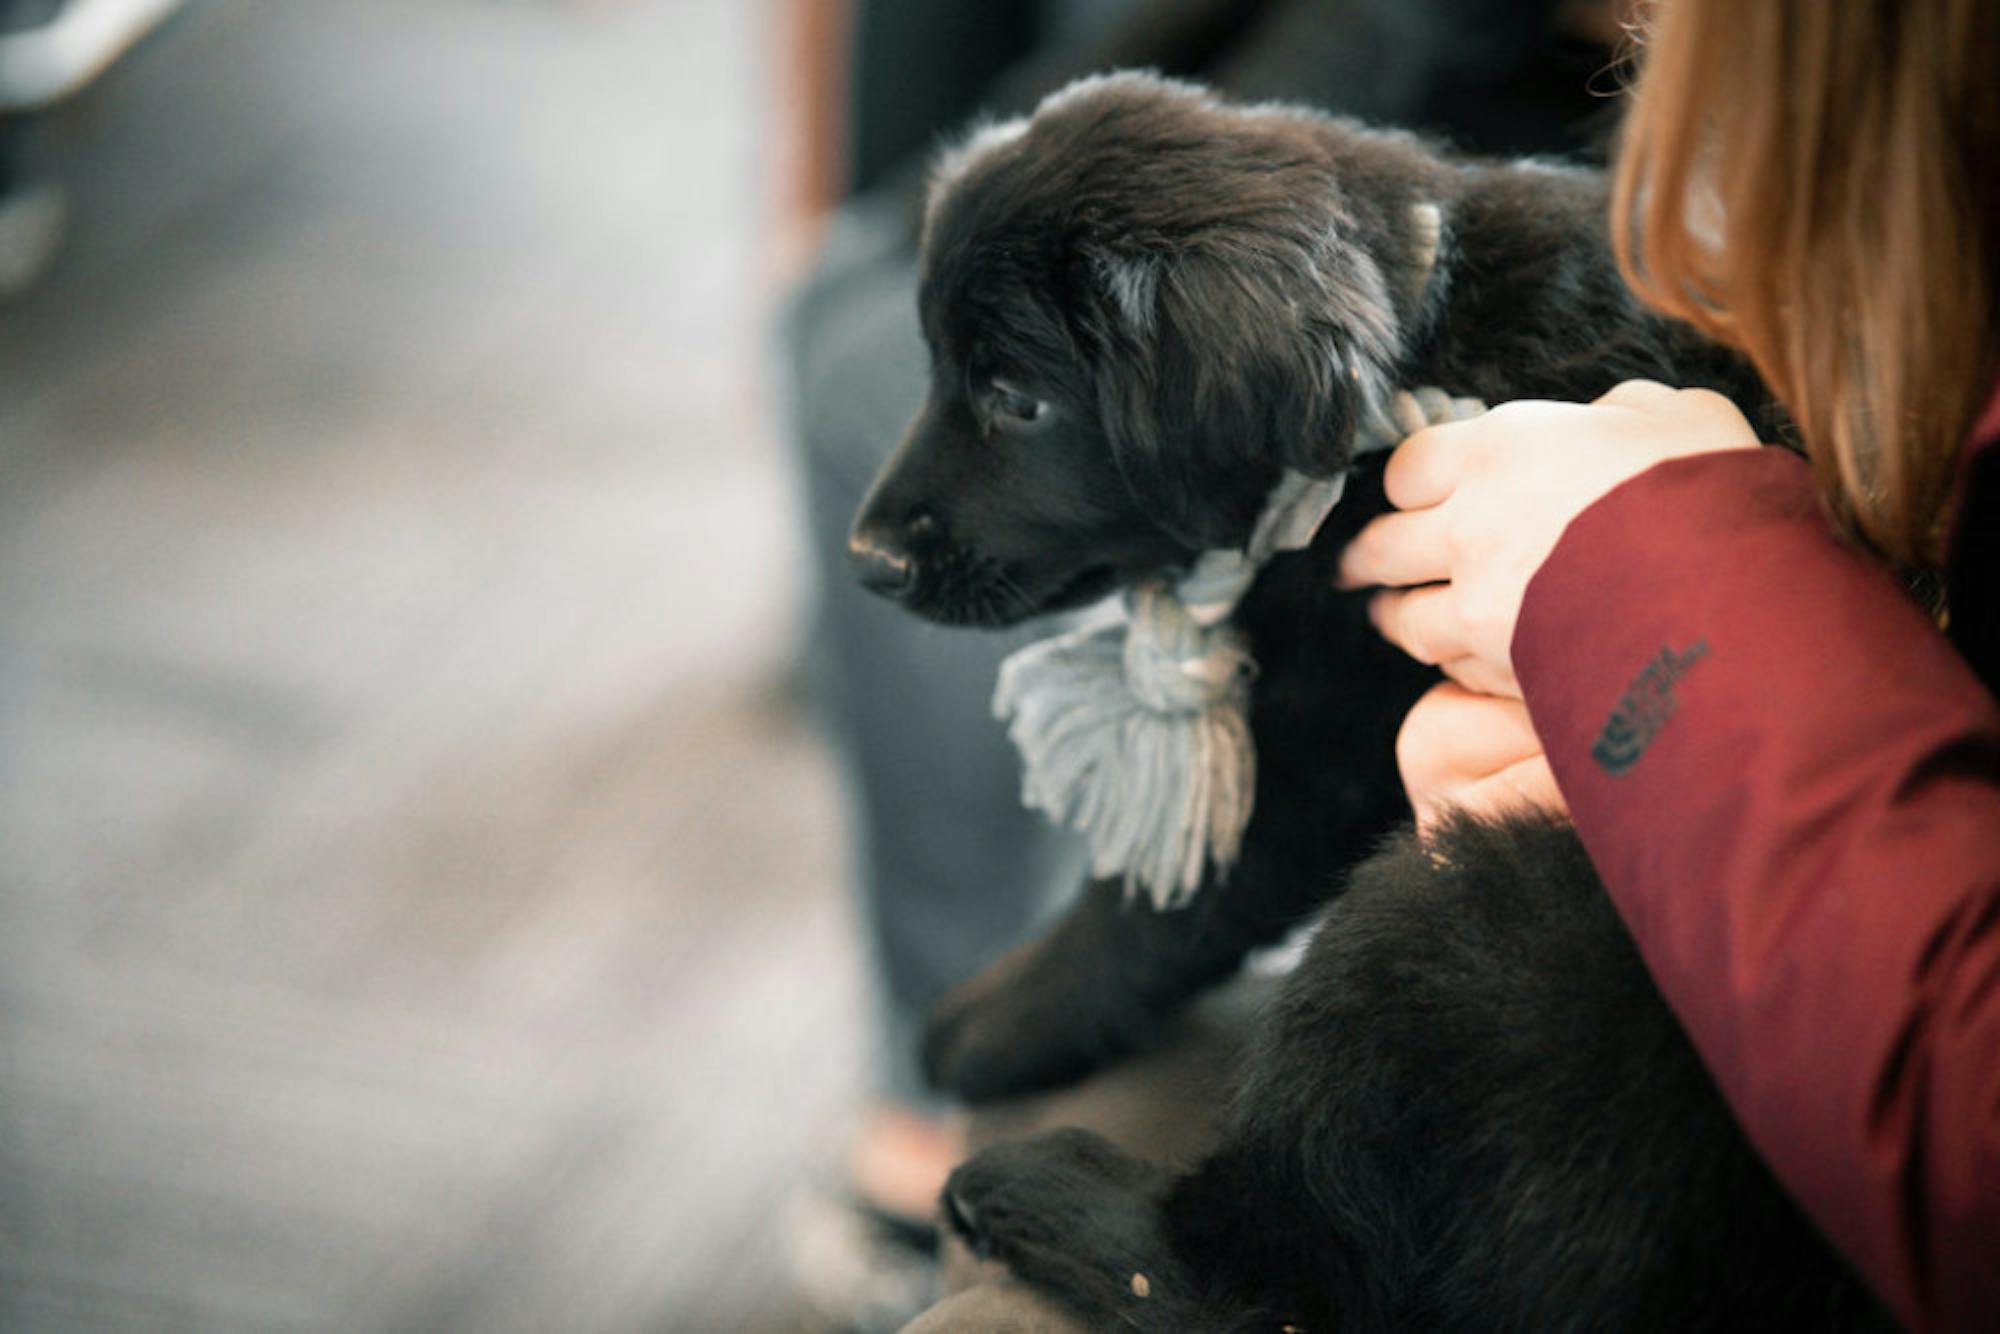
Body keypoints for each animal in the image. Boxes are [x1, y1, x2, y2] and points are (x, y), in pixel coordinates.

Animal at [852, 75, 1880, 1334]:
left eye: (1014, 397)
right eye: (938, 367)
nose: (864, 560)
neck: (1406, 371)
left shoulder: (1320, 739)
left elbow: (1153, 910)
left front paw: (991, 1020)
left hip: (1455, 909)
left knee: (1273, 1284)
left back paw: (1039, 1186)